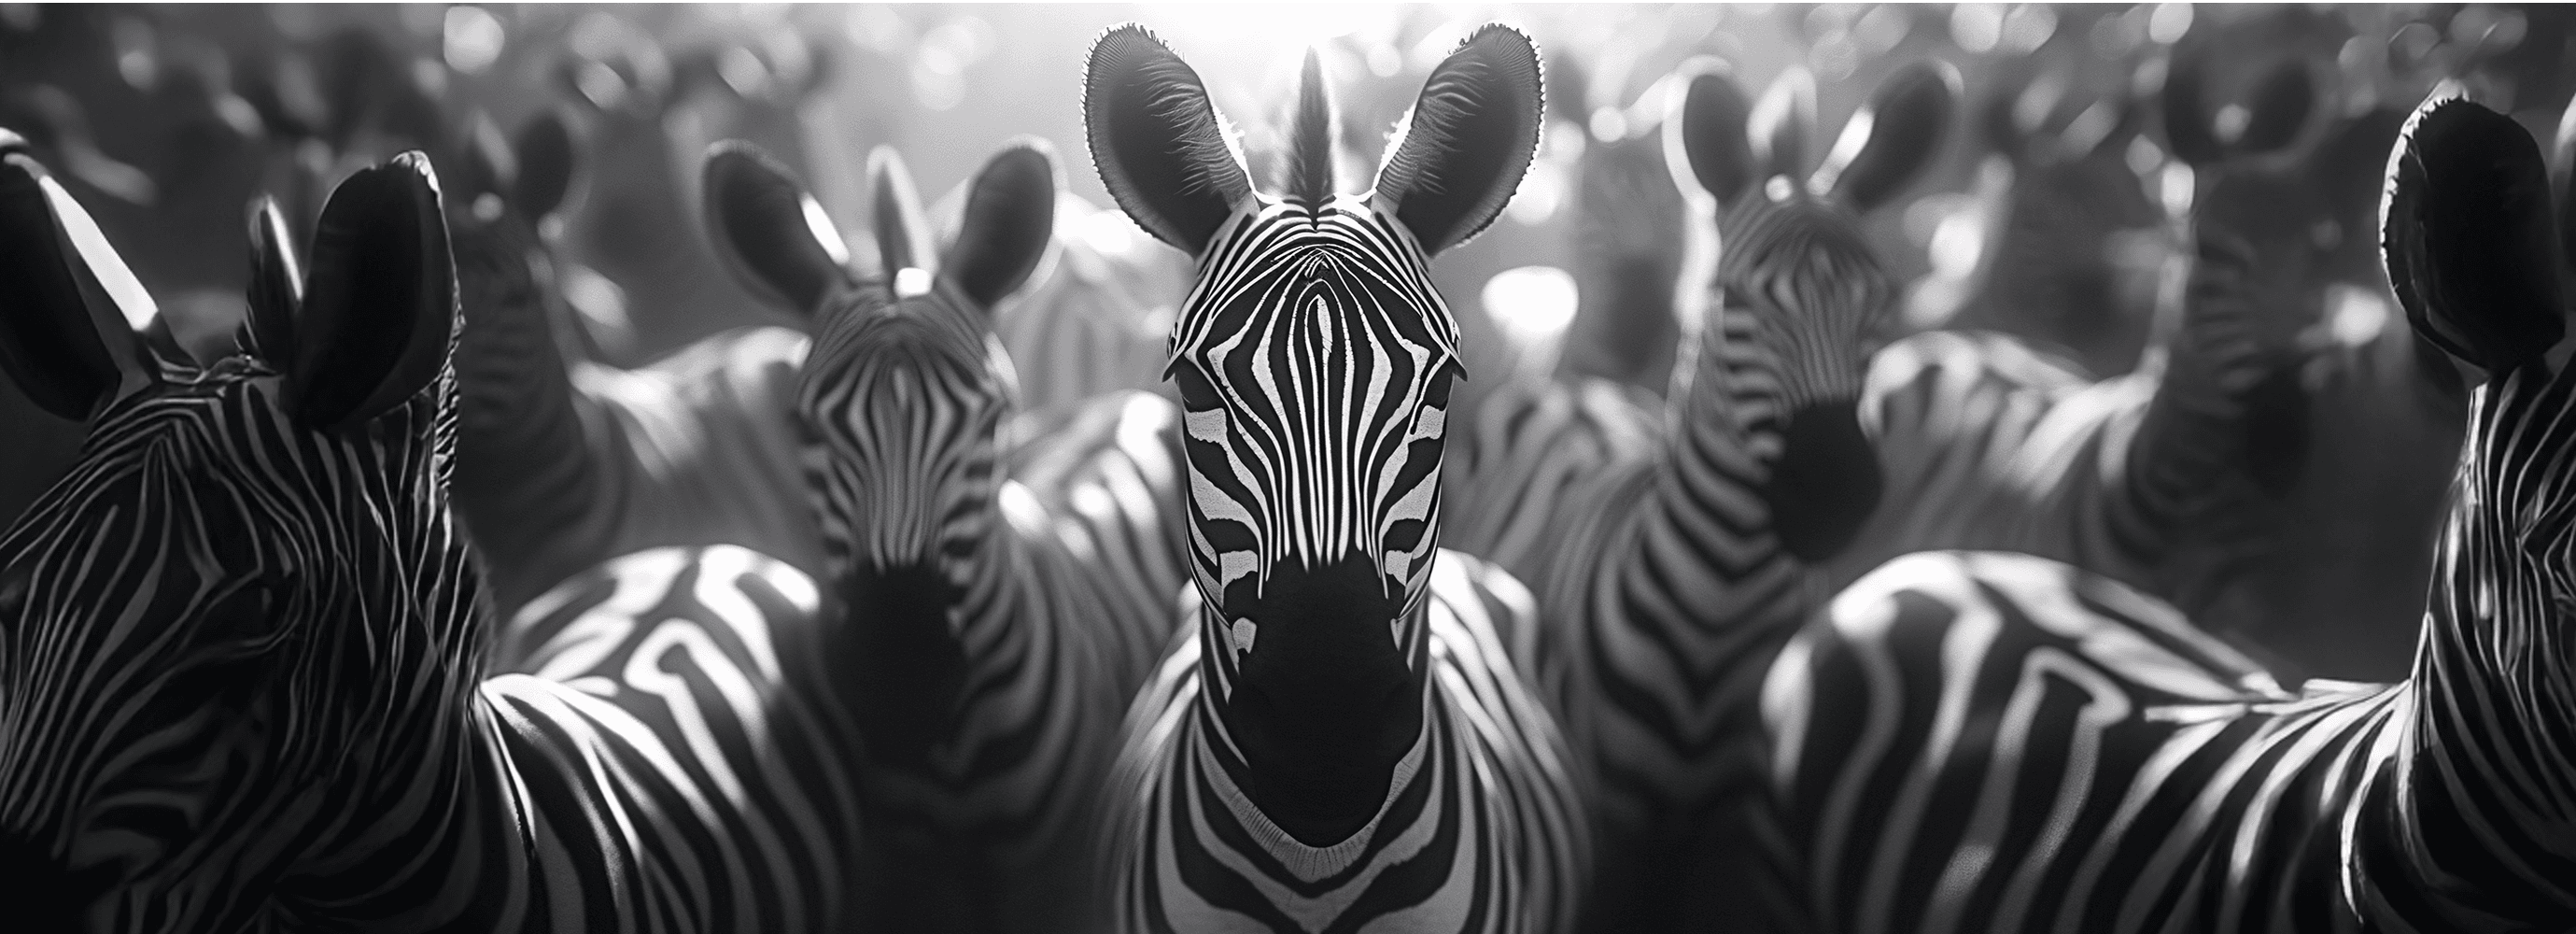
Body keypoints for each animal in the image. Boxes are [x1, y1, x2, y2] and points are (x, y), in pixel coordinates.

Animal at [699, 134, 1188, 931]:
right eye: (801, 428)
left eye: (989, 419)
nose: (901, 671)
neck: (952, 765)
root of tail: (1099, 404)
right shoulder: (908, 881)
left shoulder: (1048, 882)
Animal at [1441, 56, 1958, 932]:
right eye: (1733, 301)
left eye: (1880, 305)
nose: (1834, 493)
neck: (1720, 601)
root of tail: (1587, 387)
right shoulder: (1615, 840)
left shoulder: (1730, 847)